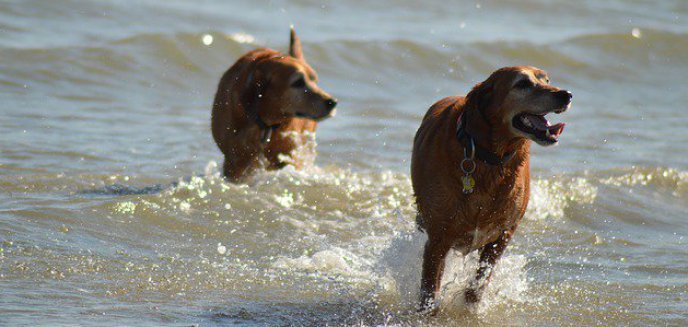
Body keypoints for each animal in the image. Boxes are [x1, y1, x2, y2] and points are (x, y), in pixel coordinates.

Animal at [412, 66, 572, 312]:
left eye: (547, 80)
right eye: (522, 84)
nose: (566, 95)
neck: (488, 157)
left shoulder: (502, 235)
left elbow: (477, 285)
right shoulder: (438, 238)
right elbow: (429, 291)